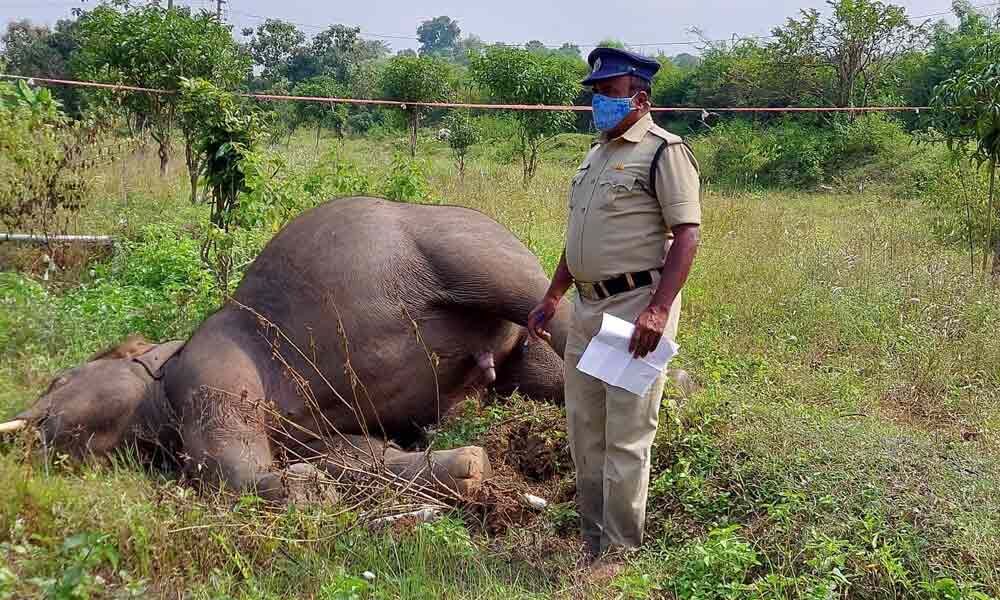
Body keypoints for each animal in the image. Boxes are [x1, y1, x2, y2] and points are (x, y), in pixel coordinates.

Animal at [1, 197, 573, 503]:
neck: (166, 362)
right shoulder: (312, 433)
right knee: (539, 372)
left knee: (542, 304)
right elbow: (358, 455)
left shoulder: (211, 369)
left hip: (474, 250)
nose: (26, 430)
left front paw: (308, 490)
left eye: (58, 379)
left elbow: (226, 466)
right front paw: (472, 464)